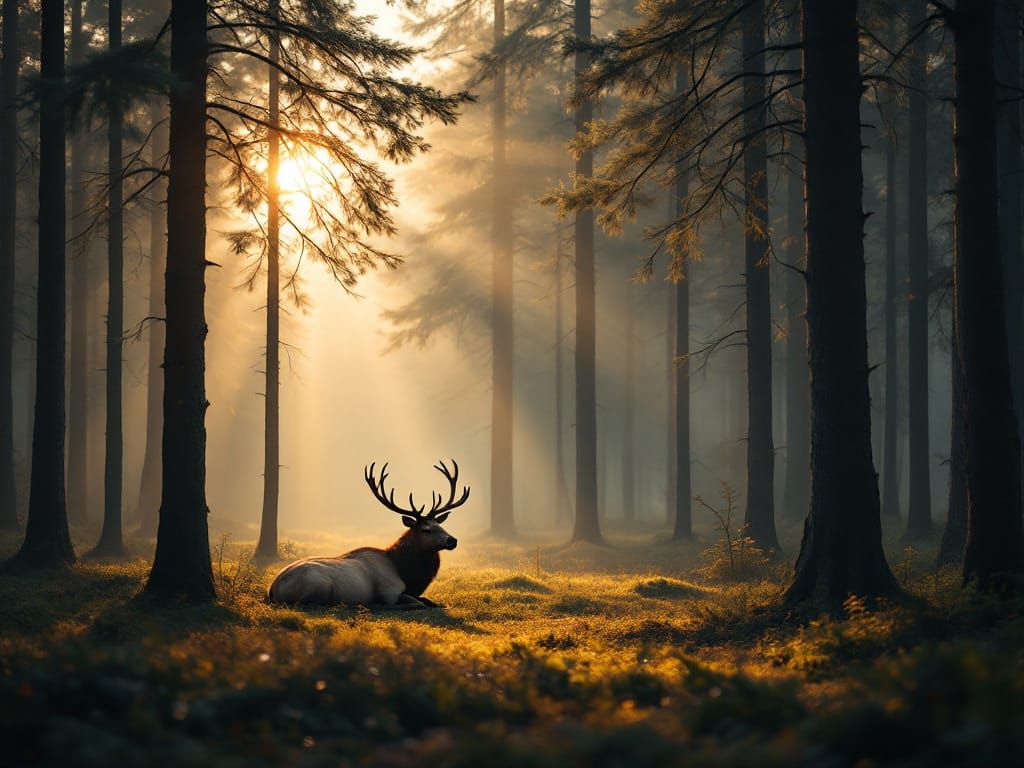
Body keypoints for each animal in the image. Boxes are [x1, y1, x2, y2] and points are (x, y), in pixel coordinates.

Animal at [267, 460, 469, 609]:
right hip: (317, 585)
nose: (452, 540)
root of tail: (273, 589)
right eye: (426, 530)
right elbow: (417, 603)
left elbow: (431, 601)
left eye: (440, 525)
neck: (407, 574)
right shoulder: (390, 591)